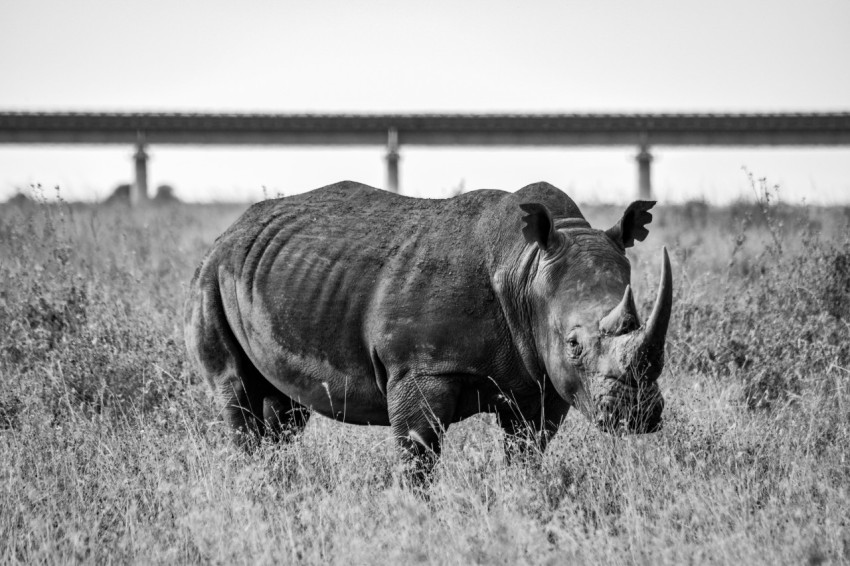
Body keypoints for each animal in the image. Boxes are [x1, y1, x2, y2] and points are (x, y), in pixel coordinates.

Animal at [184, 181, 668, 474]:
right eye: (573, 344)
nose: (637, 415)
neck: (526, 267)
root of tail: (230, 232)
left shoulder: (540, 381)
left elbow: (527, 452)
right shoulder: (422, 369)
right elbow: (419, 455)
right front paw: (416, 517)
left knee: (283, 411)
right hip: (211, 274)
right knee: (238, 393)